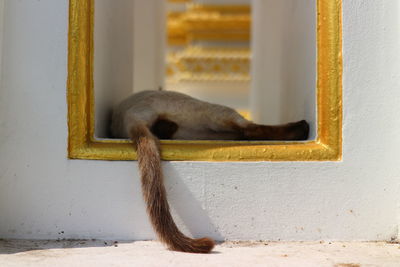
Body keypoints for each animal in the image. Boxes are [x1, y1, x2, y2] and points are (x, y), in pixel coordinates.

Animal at [111, 90, 310, 253]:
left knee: (244, 133)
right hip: (218, 113)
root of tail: (130, 115)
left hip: (201, 130)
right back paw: (301, 128)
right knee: (249, 129)